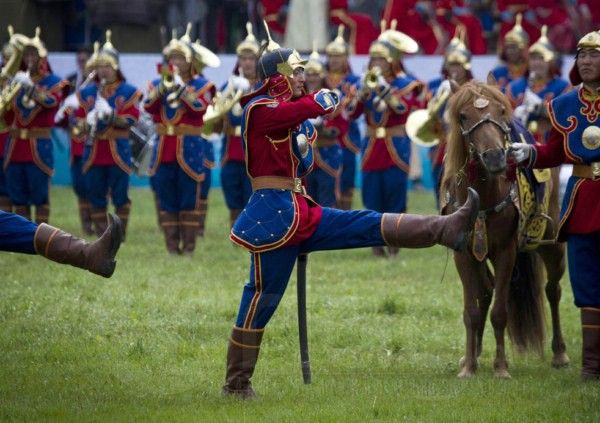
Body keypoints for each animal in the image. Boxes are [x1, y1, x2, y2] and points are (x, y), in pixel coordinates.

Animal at [440, 78, 572, 380]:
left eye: (501, 110)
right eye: (463, 116)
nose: (496, 157)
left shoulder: (506, 251)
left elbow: (500, 312)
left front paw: (501, 367)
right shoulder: (464, 254)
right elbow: (471, 310)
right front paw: (468, 366)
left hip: (552, 246)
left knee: (553, 290)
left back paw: (560, 353)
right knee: (485, 291)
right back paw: (474, 354)